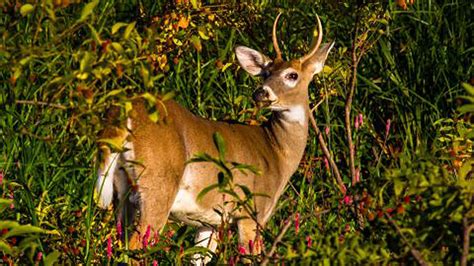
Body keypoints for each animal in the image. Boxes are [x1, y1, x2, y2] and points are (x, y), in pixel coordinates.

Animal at [96, 13, 334, 262]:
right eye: (266, 73)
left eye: (292, 75)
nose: (261, 92)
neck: (276, 153)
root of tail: (125, 112)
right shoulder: (252, 211)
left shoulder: (210, 221)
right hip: (157, 186)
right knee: (135, 247)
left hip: (121, 192)